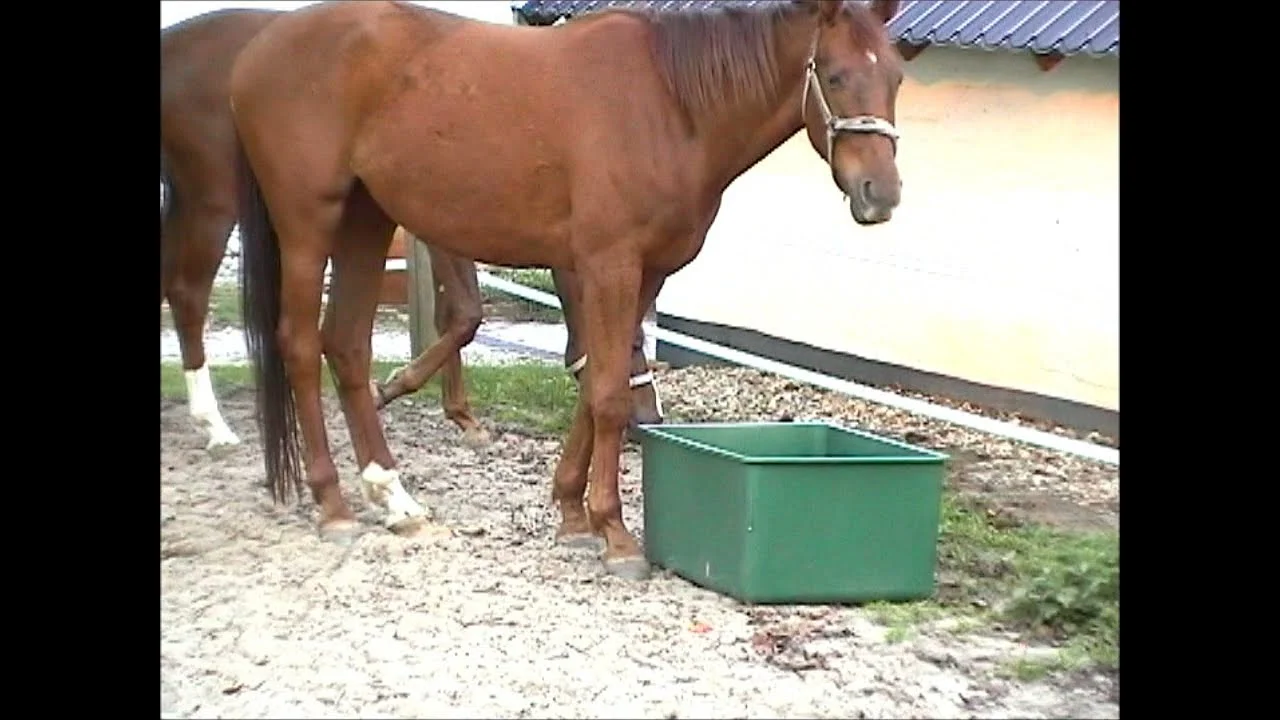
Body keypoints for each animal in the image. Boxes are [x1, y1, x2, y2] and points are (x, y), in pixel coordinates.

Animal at [161, 7, 663, 453]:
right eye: (636, 344)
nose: (650, 421)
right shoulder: (441, 233)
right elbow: (465, 316)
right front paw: (393, 389)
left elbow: (453, 318)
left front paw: (459, 414)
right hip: (214, 206)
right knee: (189, 294)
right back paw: (215, 425)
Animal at [230, 0, 904, 580]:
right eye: (836, 75)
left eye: (896, 78)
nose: (882, 194)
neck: (669, 105)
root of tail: (258, 50)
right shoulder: (610, 266)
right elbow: (606, 395)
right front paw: (617, 534)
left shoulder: (641, 274)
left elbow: (597, 380)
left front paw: (574, 514)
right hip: (308, 224)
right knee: (300, 347)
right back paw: (333, 503)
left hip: (365, 221)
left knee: (345, 345)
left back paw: (394, 499)